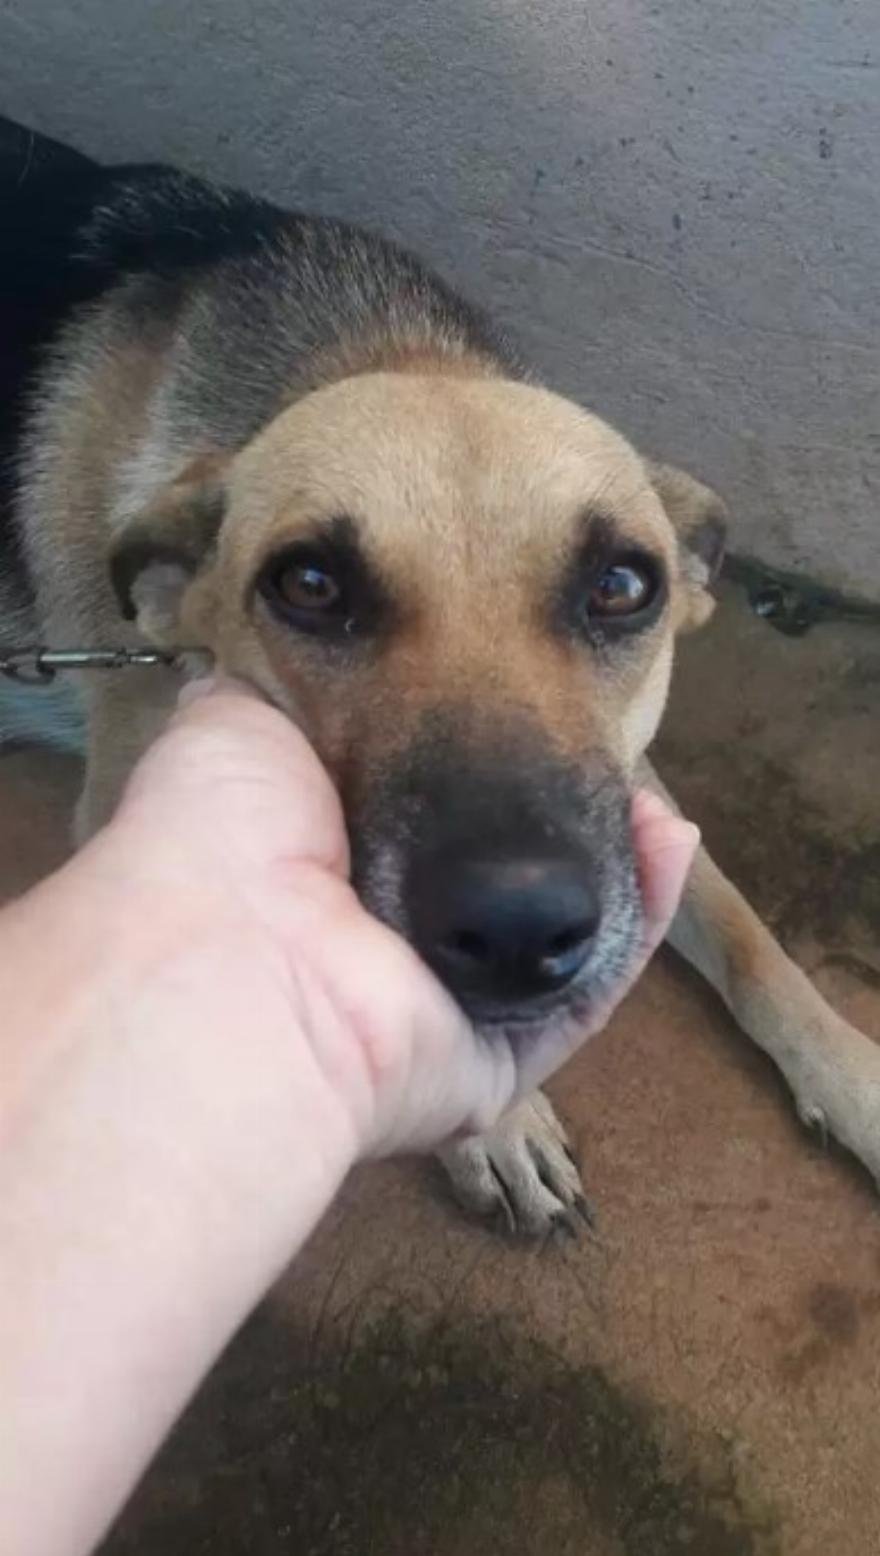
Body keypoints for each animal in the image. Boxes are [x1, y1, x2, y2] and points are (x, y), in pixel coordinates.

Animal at [3, 138, 878, 1235]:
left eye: (622, 586)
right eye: (310, 586)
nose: (518, 926)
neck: (380, 348)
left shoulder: (632, 784)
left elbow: (751, 940)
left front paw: (856, 1074)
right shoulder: (133, 812)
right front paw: (498, 1126)